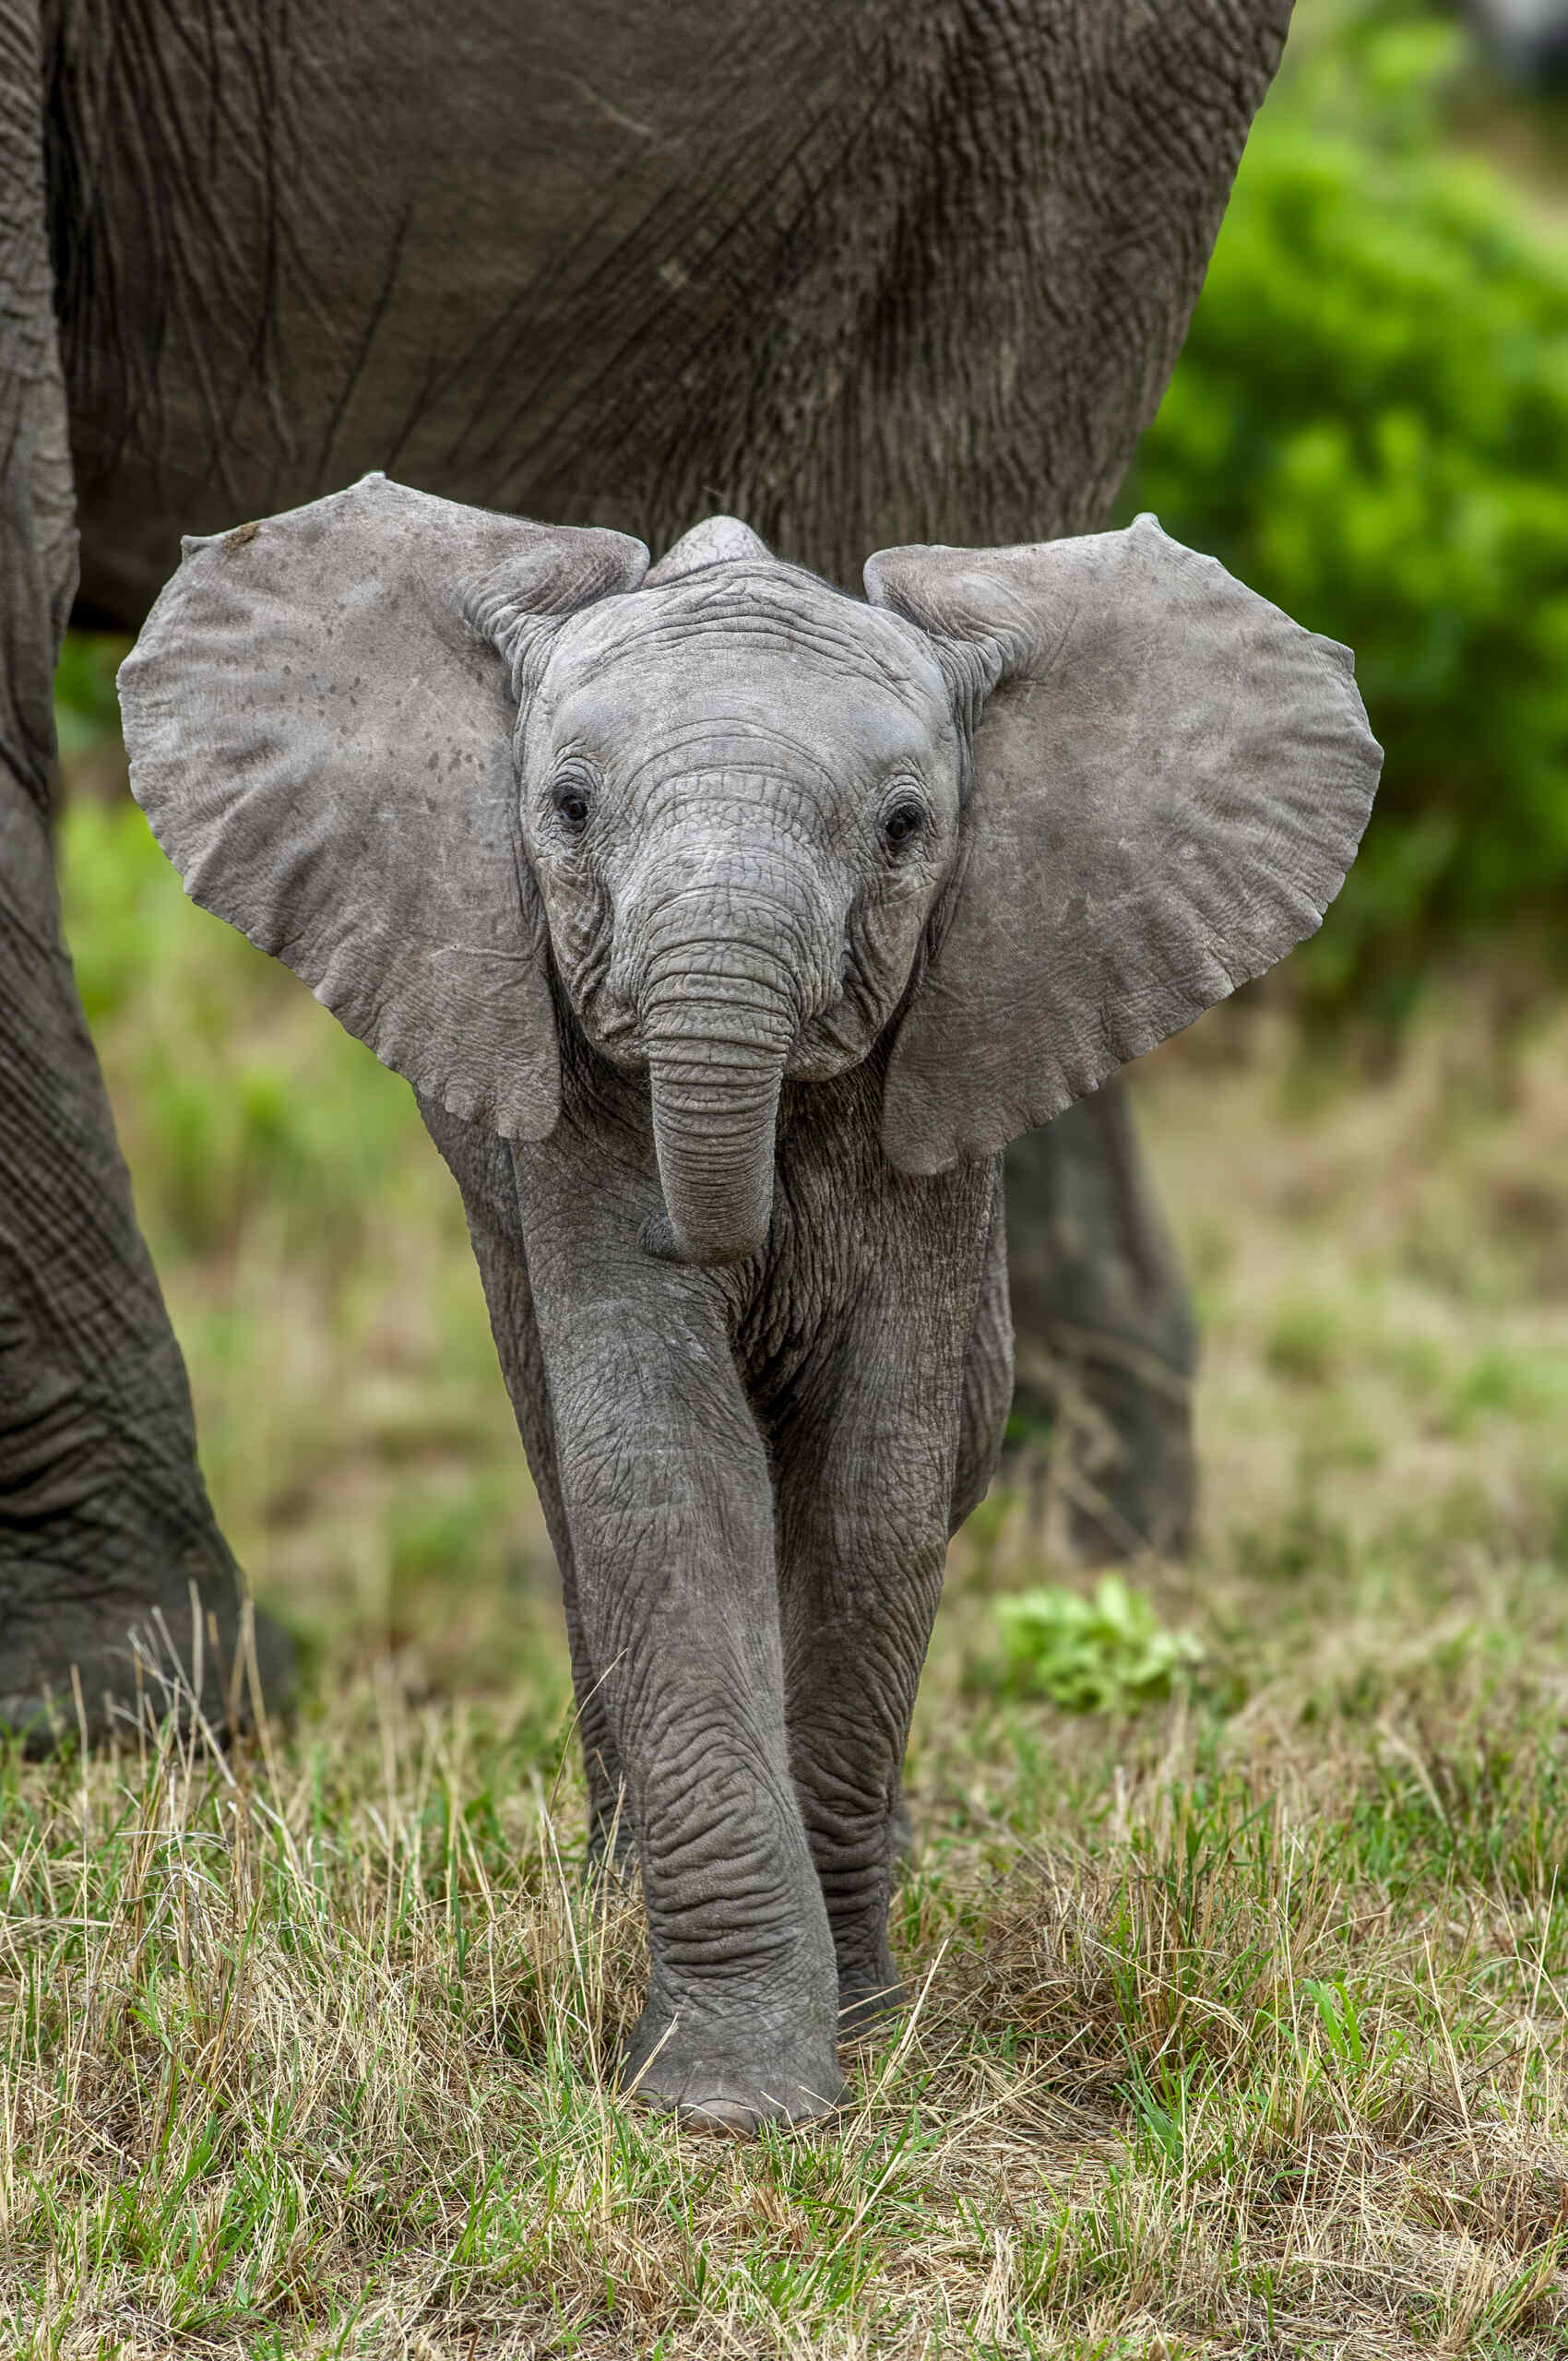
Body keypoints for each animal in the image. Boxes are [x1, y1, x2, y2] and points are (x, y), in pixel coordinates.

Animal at [2, 0, 1295, 1735]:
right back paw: (1079, 1532)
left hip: (1049, 100)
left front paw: (115, 1709)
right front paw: (128, 1706)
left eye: (902, 831)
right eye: (559, 810)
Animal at [117, 476, 1380, 2129]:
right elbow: (658, 1467)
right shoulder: (570, 1107)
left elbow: (877, 1484)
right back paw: (616, 1884)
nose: (742, 1242)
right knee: (565, 1467)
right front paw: (727, 2098)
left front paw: (861, 2026)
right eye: (567, 808)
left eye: (907, 830)